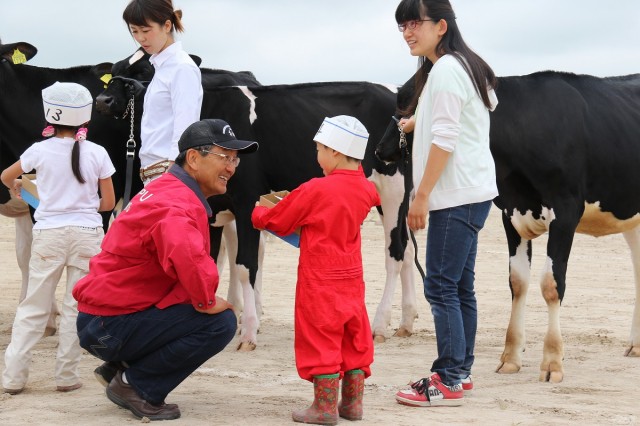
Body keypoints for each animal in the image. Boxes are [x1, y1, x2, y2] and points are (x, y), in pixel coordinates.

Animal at [376, 70, 640, 382]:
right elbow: (517, 281)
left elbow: (551, 284)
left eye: (407, 98)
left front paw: (552, 362)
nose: (380, 149)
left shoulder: (566, 211)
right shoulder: (510, 214)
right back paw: (636, 344)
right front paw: (511, 357)